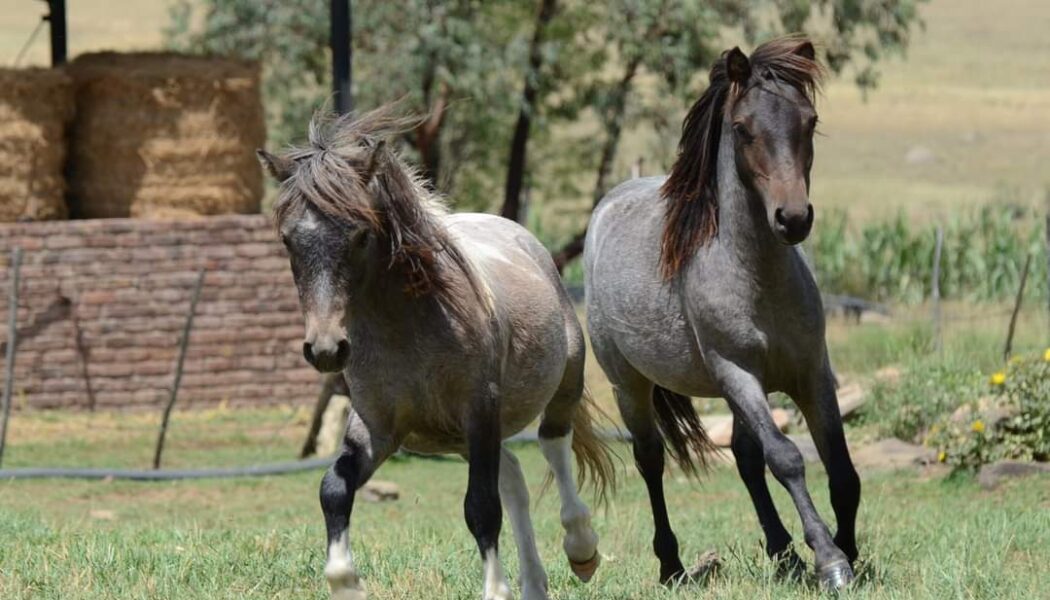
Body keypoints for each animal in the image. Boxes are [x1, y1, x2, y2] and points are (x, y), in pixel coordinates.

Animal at [257, 108, 613, 600]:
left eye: (361, 235)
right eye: (288, 240)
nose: (326, 348)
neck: (407, 329)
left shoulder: (479, 409)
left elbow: (481, 508)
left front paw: (496, 589)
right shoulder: (378, 427)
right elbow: (333, 489)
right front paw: (345, 581)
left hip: (556, 391)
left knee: (553, 448)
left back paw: (582, 550)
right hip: (461, 438)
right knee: (514, 478)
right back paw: (533, 584)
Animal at [583, 38, 860, 592]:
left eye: (810, 120)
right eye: (743, 128)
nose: (793, 218)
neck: (754, 275)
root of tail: (607, 208)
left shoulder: (813, 373)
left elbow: (839, 465)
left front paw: (850, 549)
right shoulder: (737, 373)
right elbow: (788, 458)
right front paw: (830, 560)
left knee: (746, 458)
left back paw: (782, 554)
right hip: (631, 385)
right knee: (651, 460)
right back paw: (671, 566)